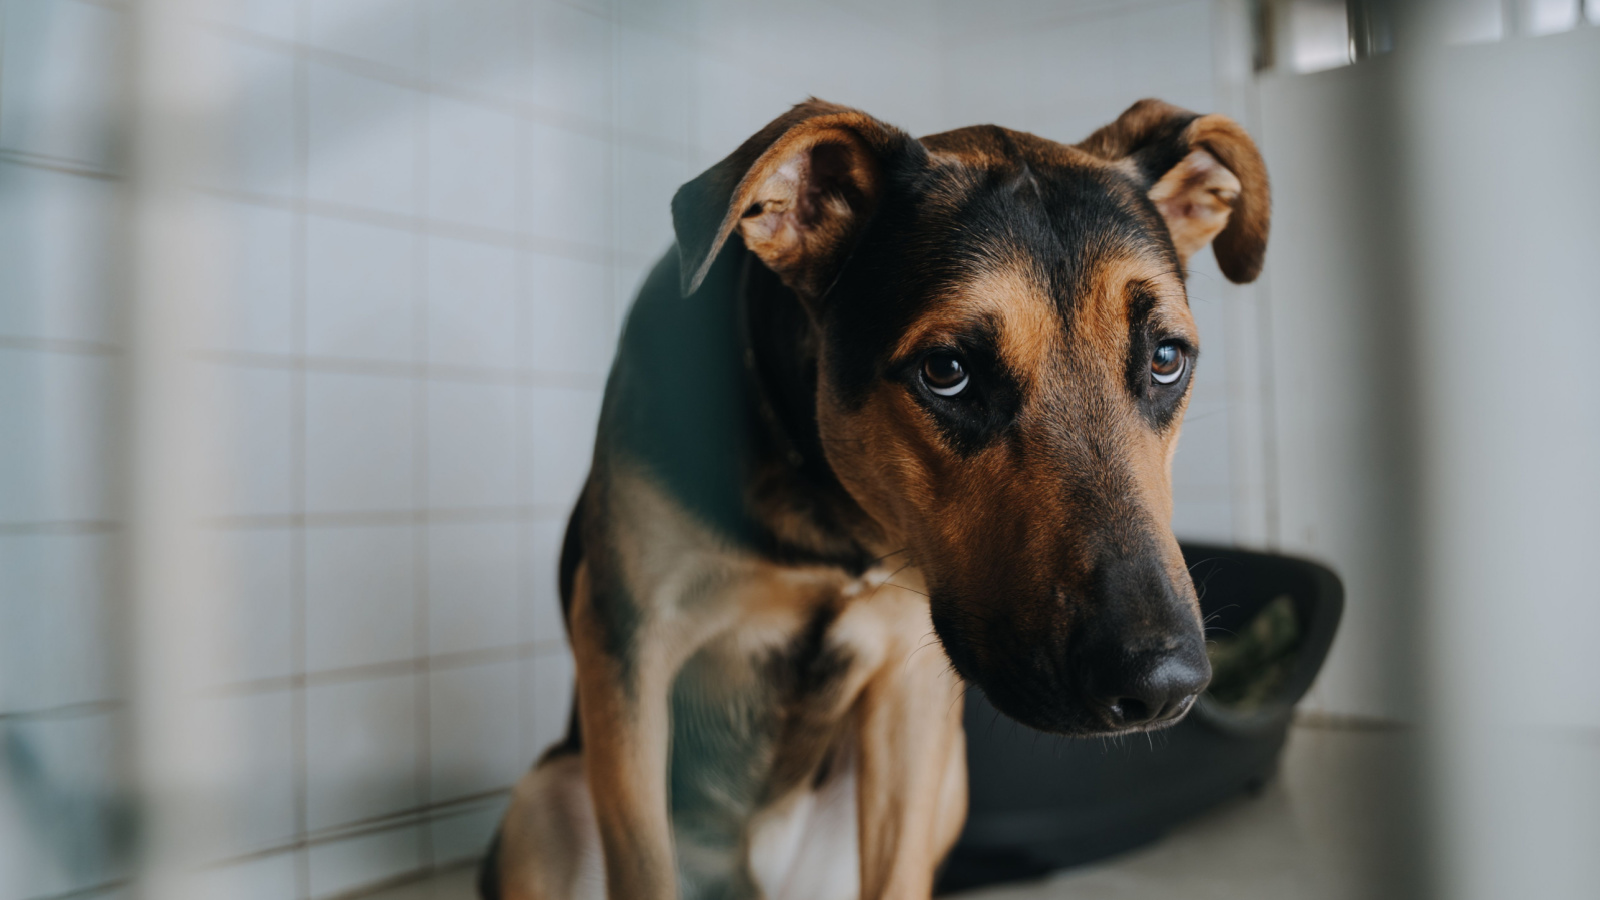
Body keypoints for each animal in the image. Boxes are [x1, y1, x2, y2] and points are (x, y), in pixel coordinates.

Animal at [480, 98, 1267, 896]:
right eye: (946, 370)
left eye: (1165, 358)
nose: (1161, 684)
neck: (832, 508)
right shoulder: (630, 647)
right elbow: (643, 867)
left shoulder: (909, 688)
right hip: (546, 799)